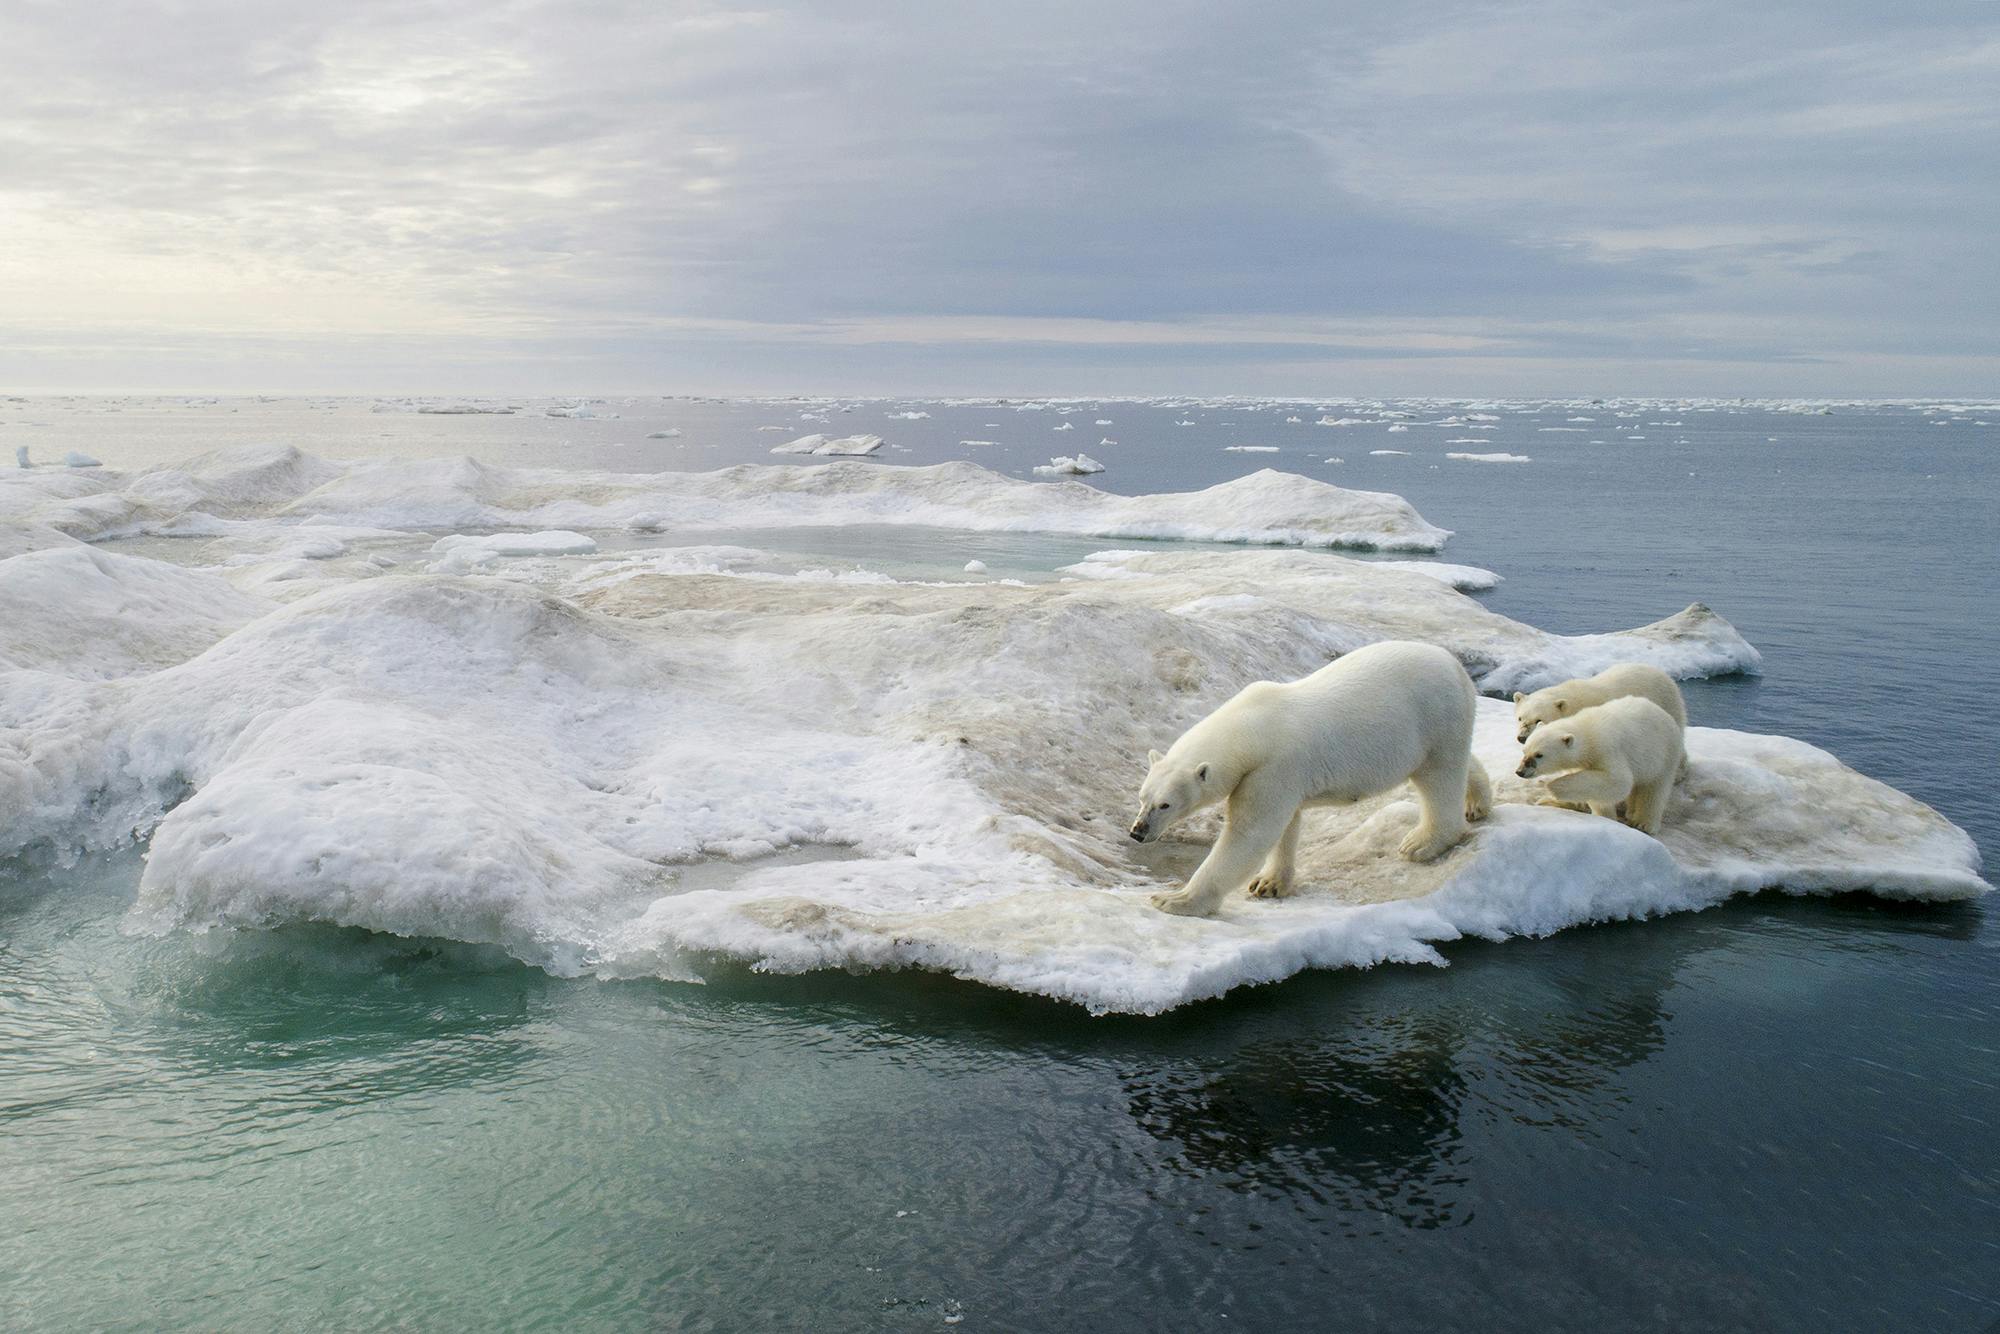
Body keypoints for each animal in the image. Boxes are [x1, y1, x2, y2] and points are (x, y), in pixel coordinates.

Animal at [1136, 648, 1496, 920]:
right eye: (1142, 797)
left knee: (1439, 778)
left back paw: (1422, 843)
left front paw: (1174, 900)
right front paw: (1268, 884)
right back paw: (1477, 802)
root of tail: (1455, 665)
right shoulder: (1279, 775)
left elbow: (1249, 834)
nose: (1137, 832)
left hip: (1435, 718)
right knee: (1458, 763)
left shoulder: (1274, 767)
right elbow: (1285, 825)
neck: (1252, 728)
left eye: (1165, 804)